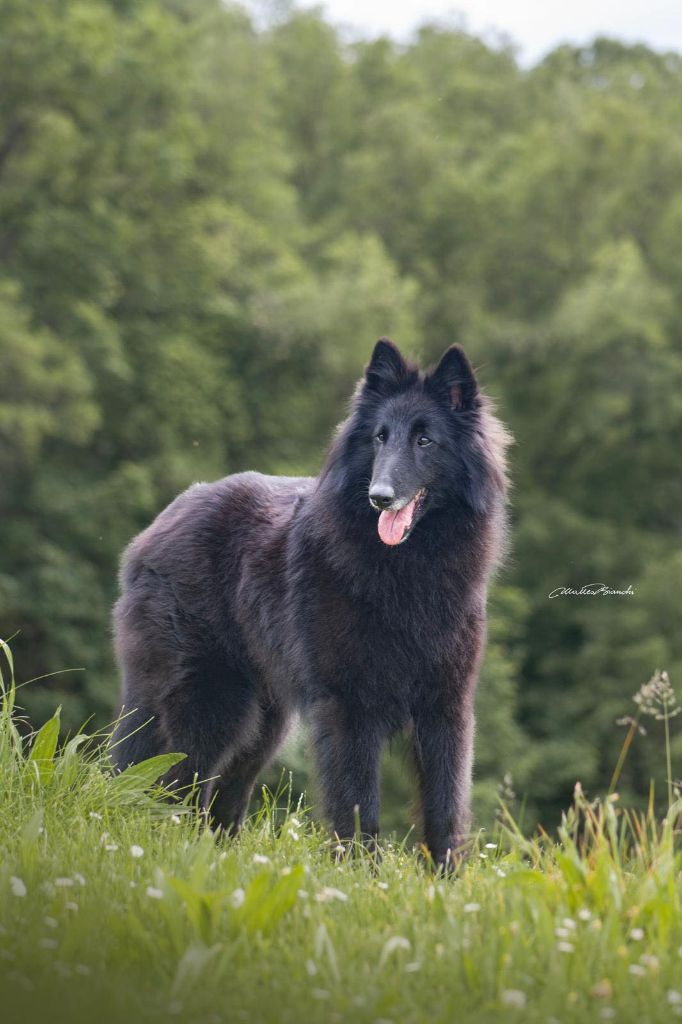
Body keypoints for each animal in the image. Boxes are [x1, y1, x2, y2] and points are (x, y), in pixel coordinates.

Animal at [112, 339, 503, 868]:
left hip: (261, 723)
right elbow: (358, 807)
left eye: (426, 441)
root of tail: (161, 521)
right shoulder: (348, 709)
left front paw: (446, 880)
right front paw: (362, 876)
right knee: (172, 781)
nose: (380, 497)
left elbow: (446, 810)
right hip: (207, 703)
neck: (409, 566)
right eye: (379, 438)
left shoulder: (446, 707)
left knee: (217, 799)